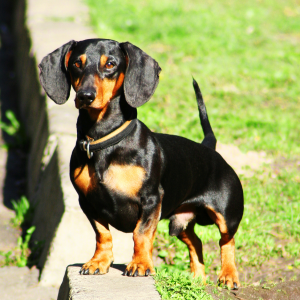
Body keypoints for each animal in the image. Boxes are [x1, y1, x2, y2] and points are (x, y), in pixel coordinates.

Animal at [38, 39, 244, 288]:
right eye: (77, 63)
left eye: (110, 64)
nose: (85, 96)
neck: (104, 141)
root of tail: (209, 148)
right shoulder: (87, 202)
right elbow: (102, 234)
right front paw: (99, 261)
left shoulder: (151, 200)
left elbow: (141, 234)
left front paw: (141, 264)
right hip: (179, 221)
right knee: (196, 242)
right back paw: (197, 280)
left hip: (225, 215)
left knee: (227, 240)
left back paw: (228, 275)